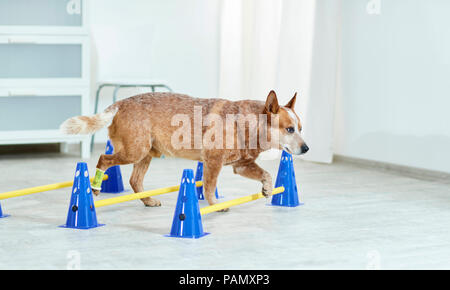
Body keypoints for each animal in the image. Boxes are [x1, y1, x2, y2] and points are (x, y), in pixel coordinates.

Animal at [60, 90, 310, 206]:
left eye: (300, 127)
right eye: (289, 129)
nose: (307, 148)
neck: (246, 123)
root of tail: (121, 103)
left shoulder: (240, 165)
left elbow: (266, 173)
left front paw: (267, 188)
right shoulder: (213, 162)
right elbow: (209, 187)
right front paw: (215, 206)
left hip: (146, 153)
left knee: (134, 180)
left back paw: (148, 201)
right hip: (134, 151)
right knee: (104, 158)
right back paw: (94, 189)